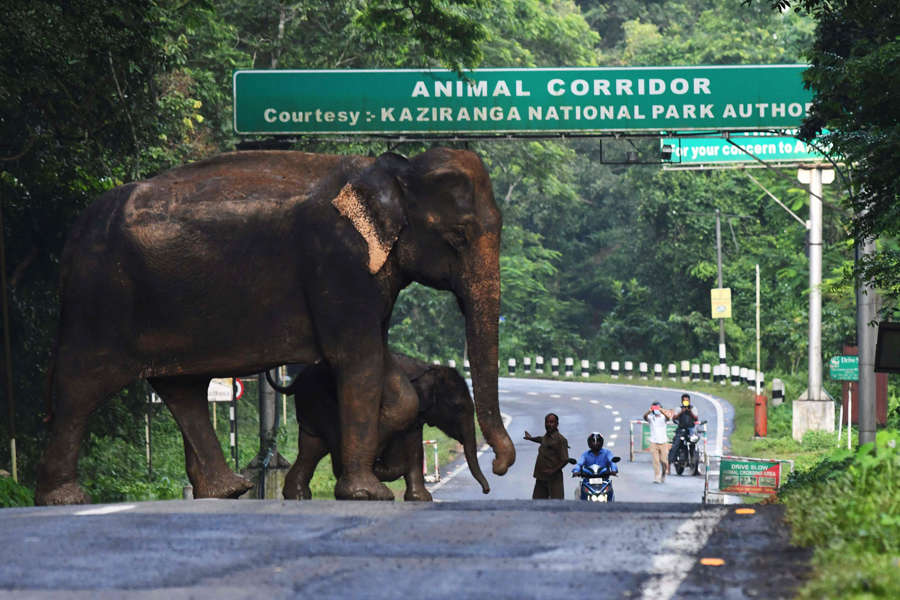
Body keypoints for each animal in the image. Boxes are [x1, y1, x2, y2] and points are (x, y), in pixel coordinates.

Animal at [270, 354, 488, 500]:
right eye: (457, 407)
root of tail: (297, 380)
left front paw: (421, 499)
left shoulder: (414, 415)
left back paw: (298, 495)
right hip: (322, 401)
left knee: (311, 448)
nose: (486, 490)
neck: (429, 368)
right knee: (328, 440)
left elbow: (414, 446)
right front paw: (380, 472)